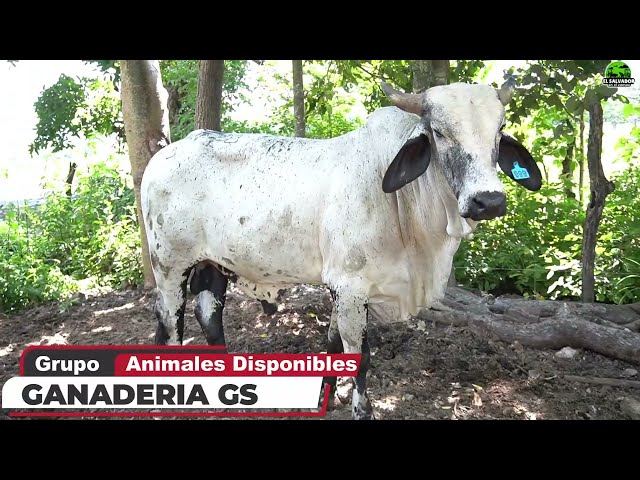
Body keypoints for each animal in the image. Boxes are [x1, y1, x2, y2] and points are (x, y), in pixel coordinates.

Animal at [140, 79, 542, 420]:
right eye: (440, 132)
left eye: (499, 131)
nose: (488, 201)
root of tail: (163, 156)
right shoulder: (349, 286)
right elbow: (358, 357)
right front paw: (361, 411)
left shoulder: (345, 289)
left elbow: (333, 345)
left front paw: (326, 397)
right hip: (170, 265)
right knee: (171, 325)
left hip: (214, 264)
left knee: (208, 316)